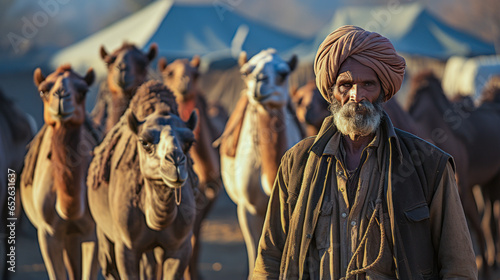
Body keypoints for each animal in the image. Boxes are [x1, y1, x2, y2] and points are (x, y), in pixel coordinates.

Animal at [88, 80, 199, 278]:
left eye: (190, 142)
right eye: (144, 142)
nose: (175, 162)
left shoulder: (180, 247)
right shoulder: (126, 246)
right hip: (104, 231)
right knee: (108, 263)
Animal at [159, 55, 224, 280]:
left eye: (196, 73)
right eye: (169, 73)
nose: (184, 83)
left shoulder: (206, 199)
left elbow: (194, 239)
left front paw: (193, 274)